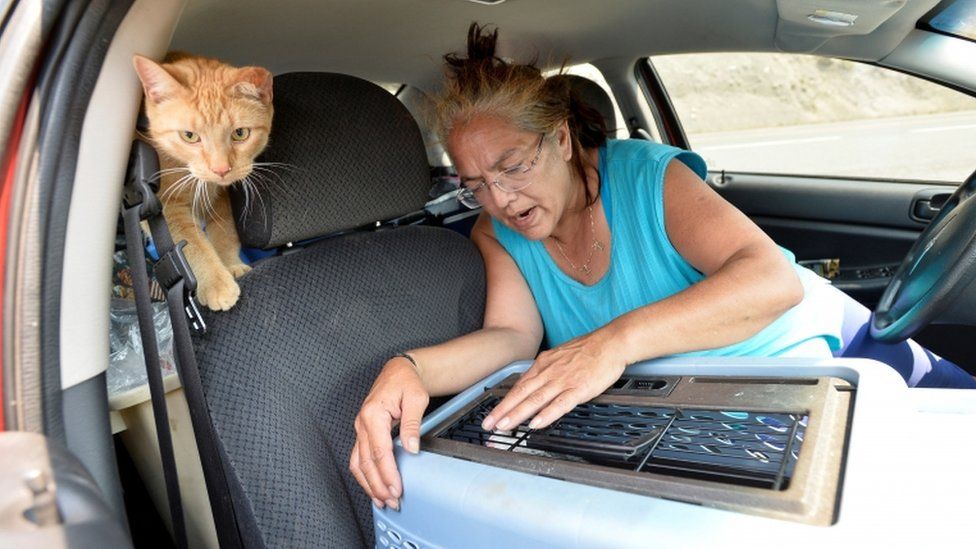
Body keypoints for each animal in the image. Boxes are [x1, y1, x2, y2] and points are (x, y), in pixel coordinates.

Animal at [132, 53, 272, 310]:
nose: (221, 169)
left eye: (240, 133)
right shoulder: (167, 206)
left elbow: (224, 232)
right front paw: (217, 283)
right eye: (189, 136)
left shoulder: (222, 196)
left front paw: (230, 265)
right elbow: (192, 243)